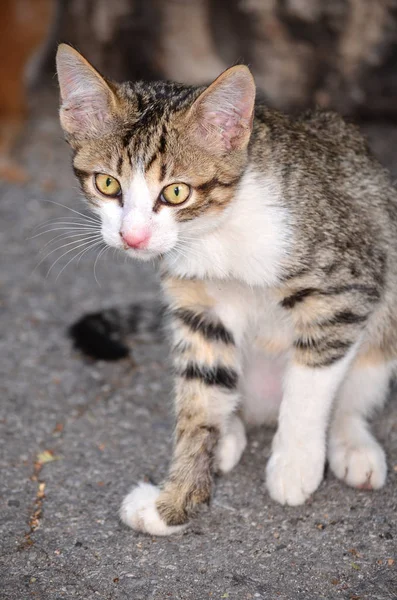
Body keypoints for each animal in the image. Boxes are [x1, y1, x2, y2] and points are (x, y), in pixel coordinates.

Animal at [56, 44, 396, 536]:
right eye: (107, 184)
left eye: (176, 192)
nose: (133, 237)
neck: (217, 232)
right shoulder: (199, 309)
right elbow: (200, 398)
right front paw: (172, 503)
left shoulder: (349, 281)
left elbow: (312, 380)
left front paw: (295, 463)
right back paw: (230, 434)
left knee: (358, 380)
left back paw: (349, 441)